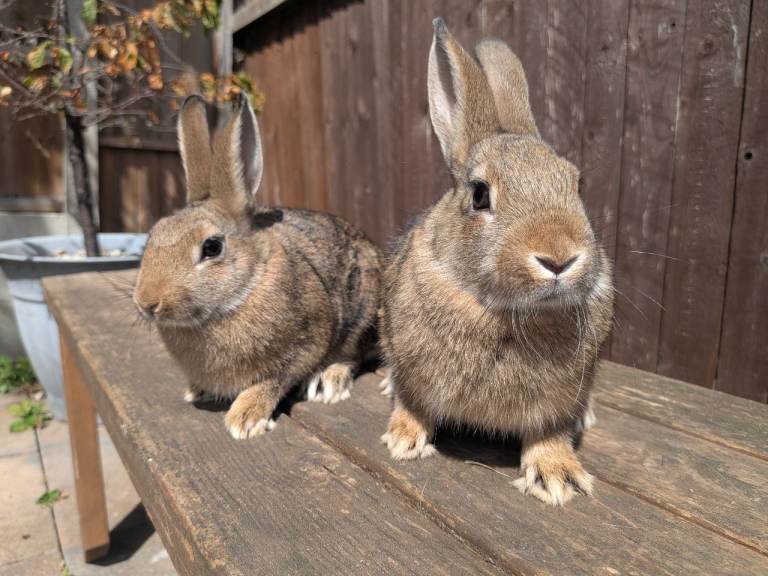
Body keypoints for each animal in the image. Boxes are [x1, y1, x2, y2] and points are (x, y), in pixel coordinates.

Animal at [133, 95, 381, 439]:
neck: (245, 290)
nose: (147, 303)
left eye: (212, 247)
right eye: (153, 234)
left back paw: (328, 382)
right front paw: (197, 390)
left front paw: (245, 418)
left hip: (361, 314)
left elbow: (273, 380)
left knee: (351, 355)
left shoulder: (304, 345)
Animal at [379, 19, 614, 506]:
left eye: (576, 185)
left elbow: (550, 430)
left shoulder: (559, 399)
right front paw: (403, 439)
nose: (559, 258)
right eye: (480, 194)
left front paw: (557, 475)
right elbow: (413, 400)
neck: (506, 313)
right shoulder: (412, 364)